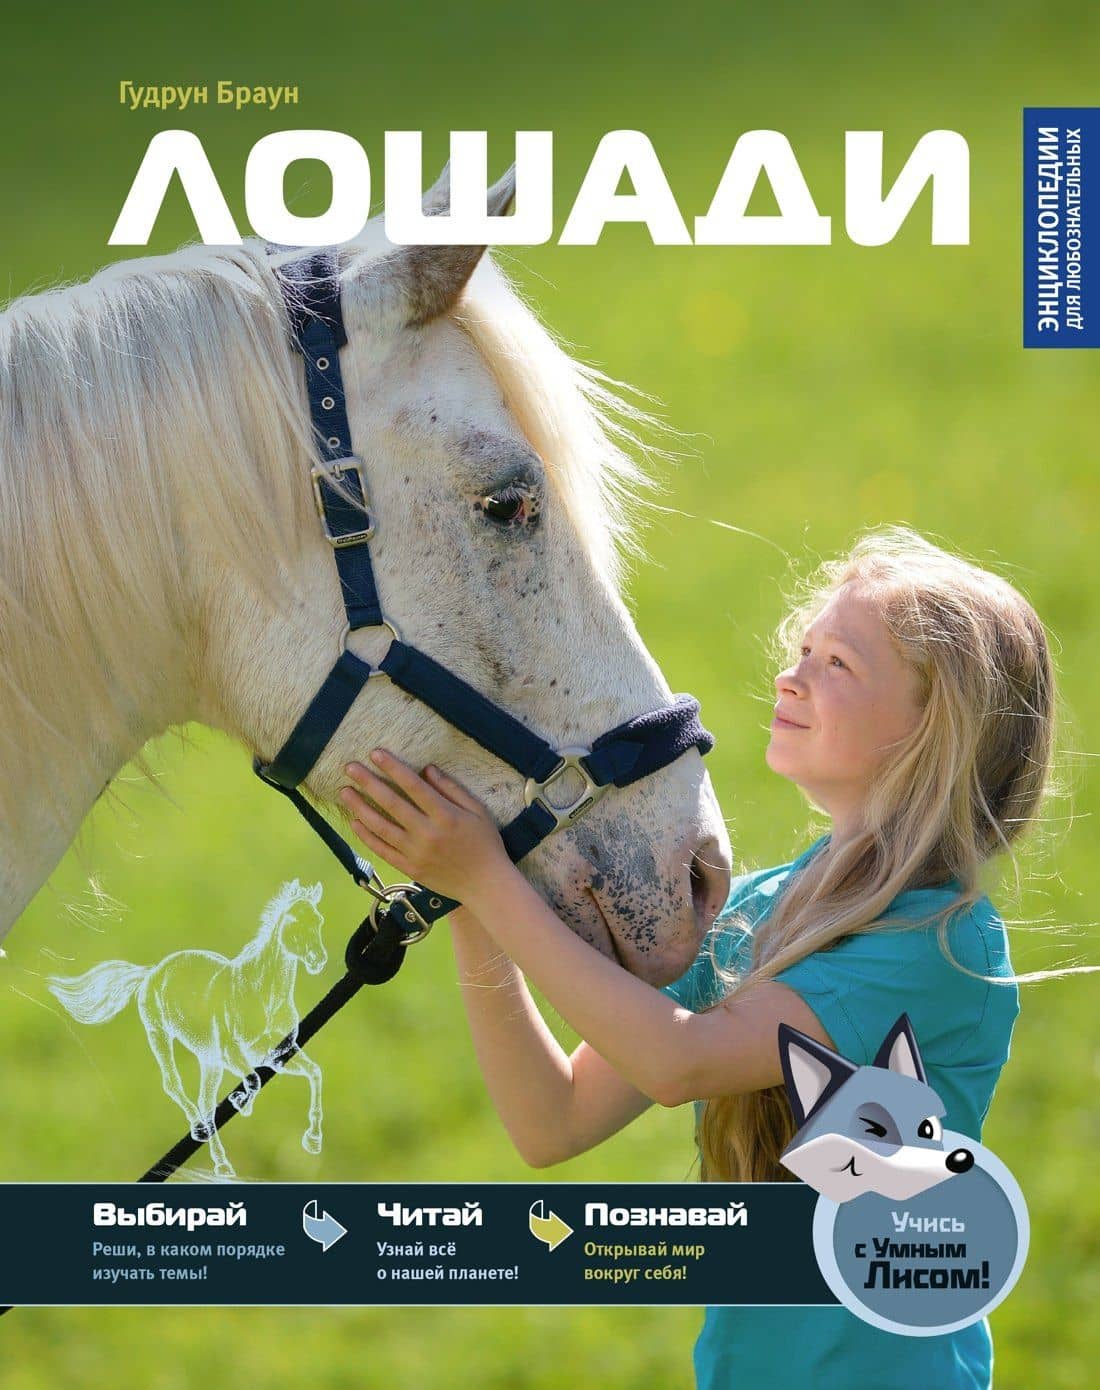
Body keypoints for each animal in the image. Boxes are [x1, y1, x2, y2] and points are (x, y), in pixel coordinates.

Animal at [46, 879, 327, 1178]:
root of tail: (152, 971)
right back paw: (203, 1133)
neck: (261, 995)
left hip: (208, 1058)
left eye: (318, 920)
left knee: (205, 1100)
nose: (318, 960)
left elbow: (314, 1073)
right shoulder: (232, 1052)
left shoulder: (277, 1053)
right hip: (160, 1035)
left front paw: (312, 1139)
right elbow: (254, 1079)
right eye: (293, 922)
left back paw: (222, 1161)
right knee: (174, 1085)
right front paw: (241, 1102)